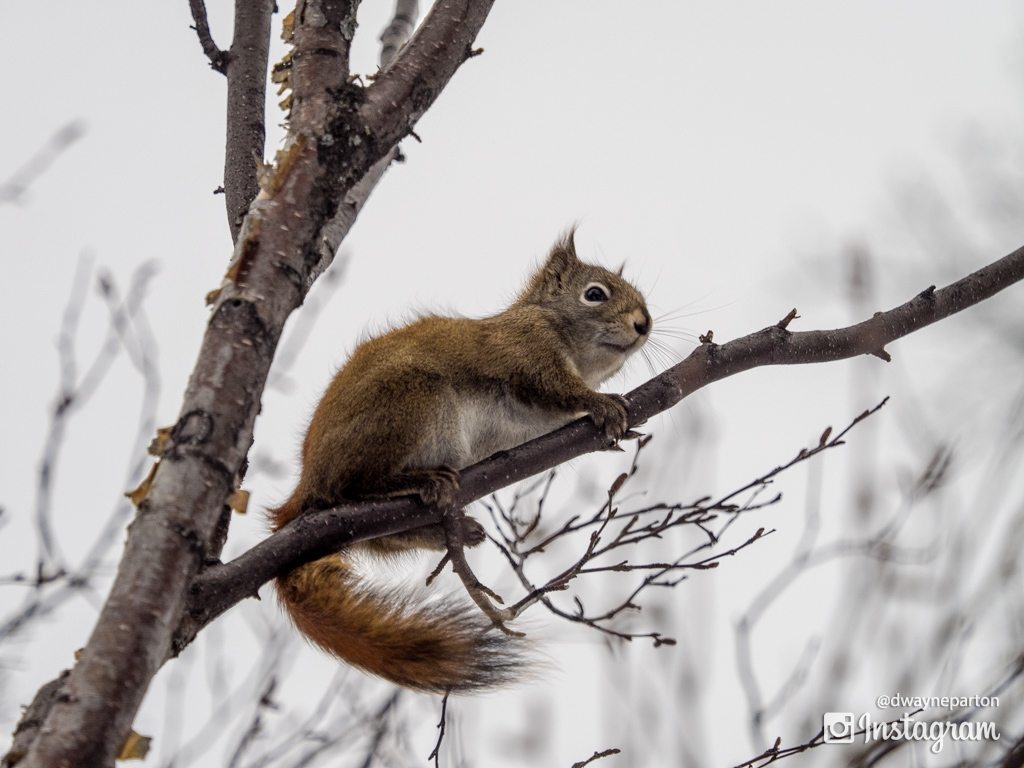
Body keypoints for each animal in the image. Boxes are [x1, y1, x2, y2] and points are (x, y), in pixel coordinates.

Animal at [272, 231, 651, 696]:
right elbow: (559, 388)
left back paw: (454, 531)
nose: (644, 323)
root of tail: (307, 485)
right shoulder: (526, 350)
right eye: (595, 294)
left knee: (389, 535)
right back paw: (419, 483)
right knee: (353, 485)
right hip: (410, 403)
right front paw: (603, 405)